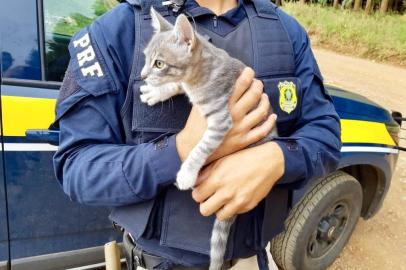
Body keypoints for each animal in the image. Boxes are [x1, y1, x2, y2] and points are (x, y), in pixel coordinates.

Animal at [140, 7, 276, 270]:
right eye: (145, 58)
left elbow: (200, 148)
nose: (142, 75)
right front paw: (158, 92)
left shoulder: (221, 120)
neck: (199, 74)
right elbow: (177, 85)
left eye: (159, 63)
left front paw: (186, 173)